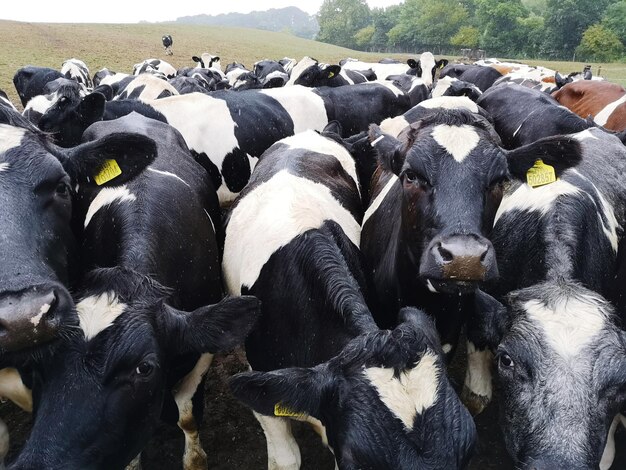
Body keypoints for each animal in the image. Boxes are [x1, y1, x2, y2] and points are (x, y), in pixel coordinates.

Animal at [10, 114, 258, 470]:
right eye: (41, 360)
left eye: (144, 367)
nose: (41, 461)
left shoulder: (201, 350)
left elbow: (187, 416)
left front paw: (195, 459)